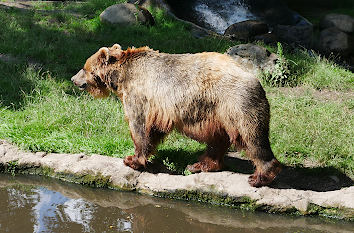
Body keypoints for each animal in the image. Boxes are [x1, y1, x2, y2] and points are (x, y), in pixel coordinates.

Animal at [72, 44, 282, 187]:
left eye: (84, 67)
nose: (73, 79)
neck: (122, 76)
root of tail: (255, 80)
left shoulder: (140, 95)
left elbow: (139, 126)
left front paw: (132, 159)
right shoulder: (158, 107)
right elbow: (154, 130)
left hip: (235, 104)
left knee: (252, 138)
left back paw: (259, 177)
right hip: (215, 113)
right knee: (218, 140)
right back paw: (200, 164)